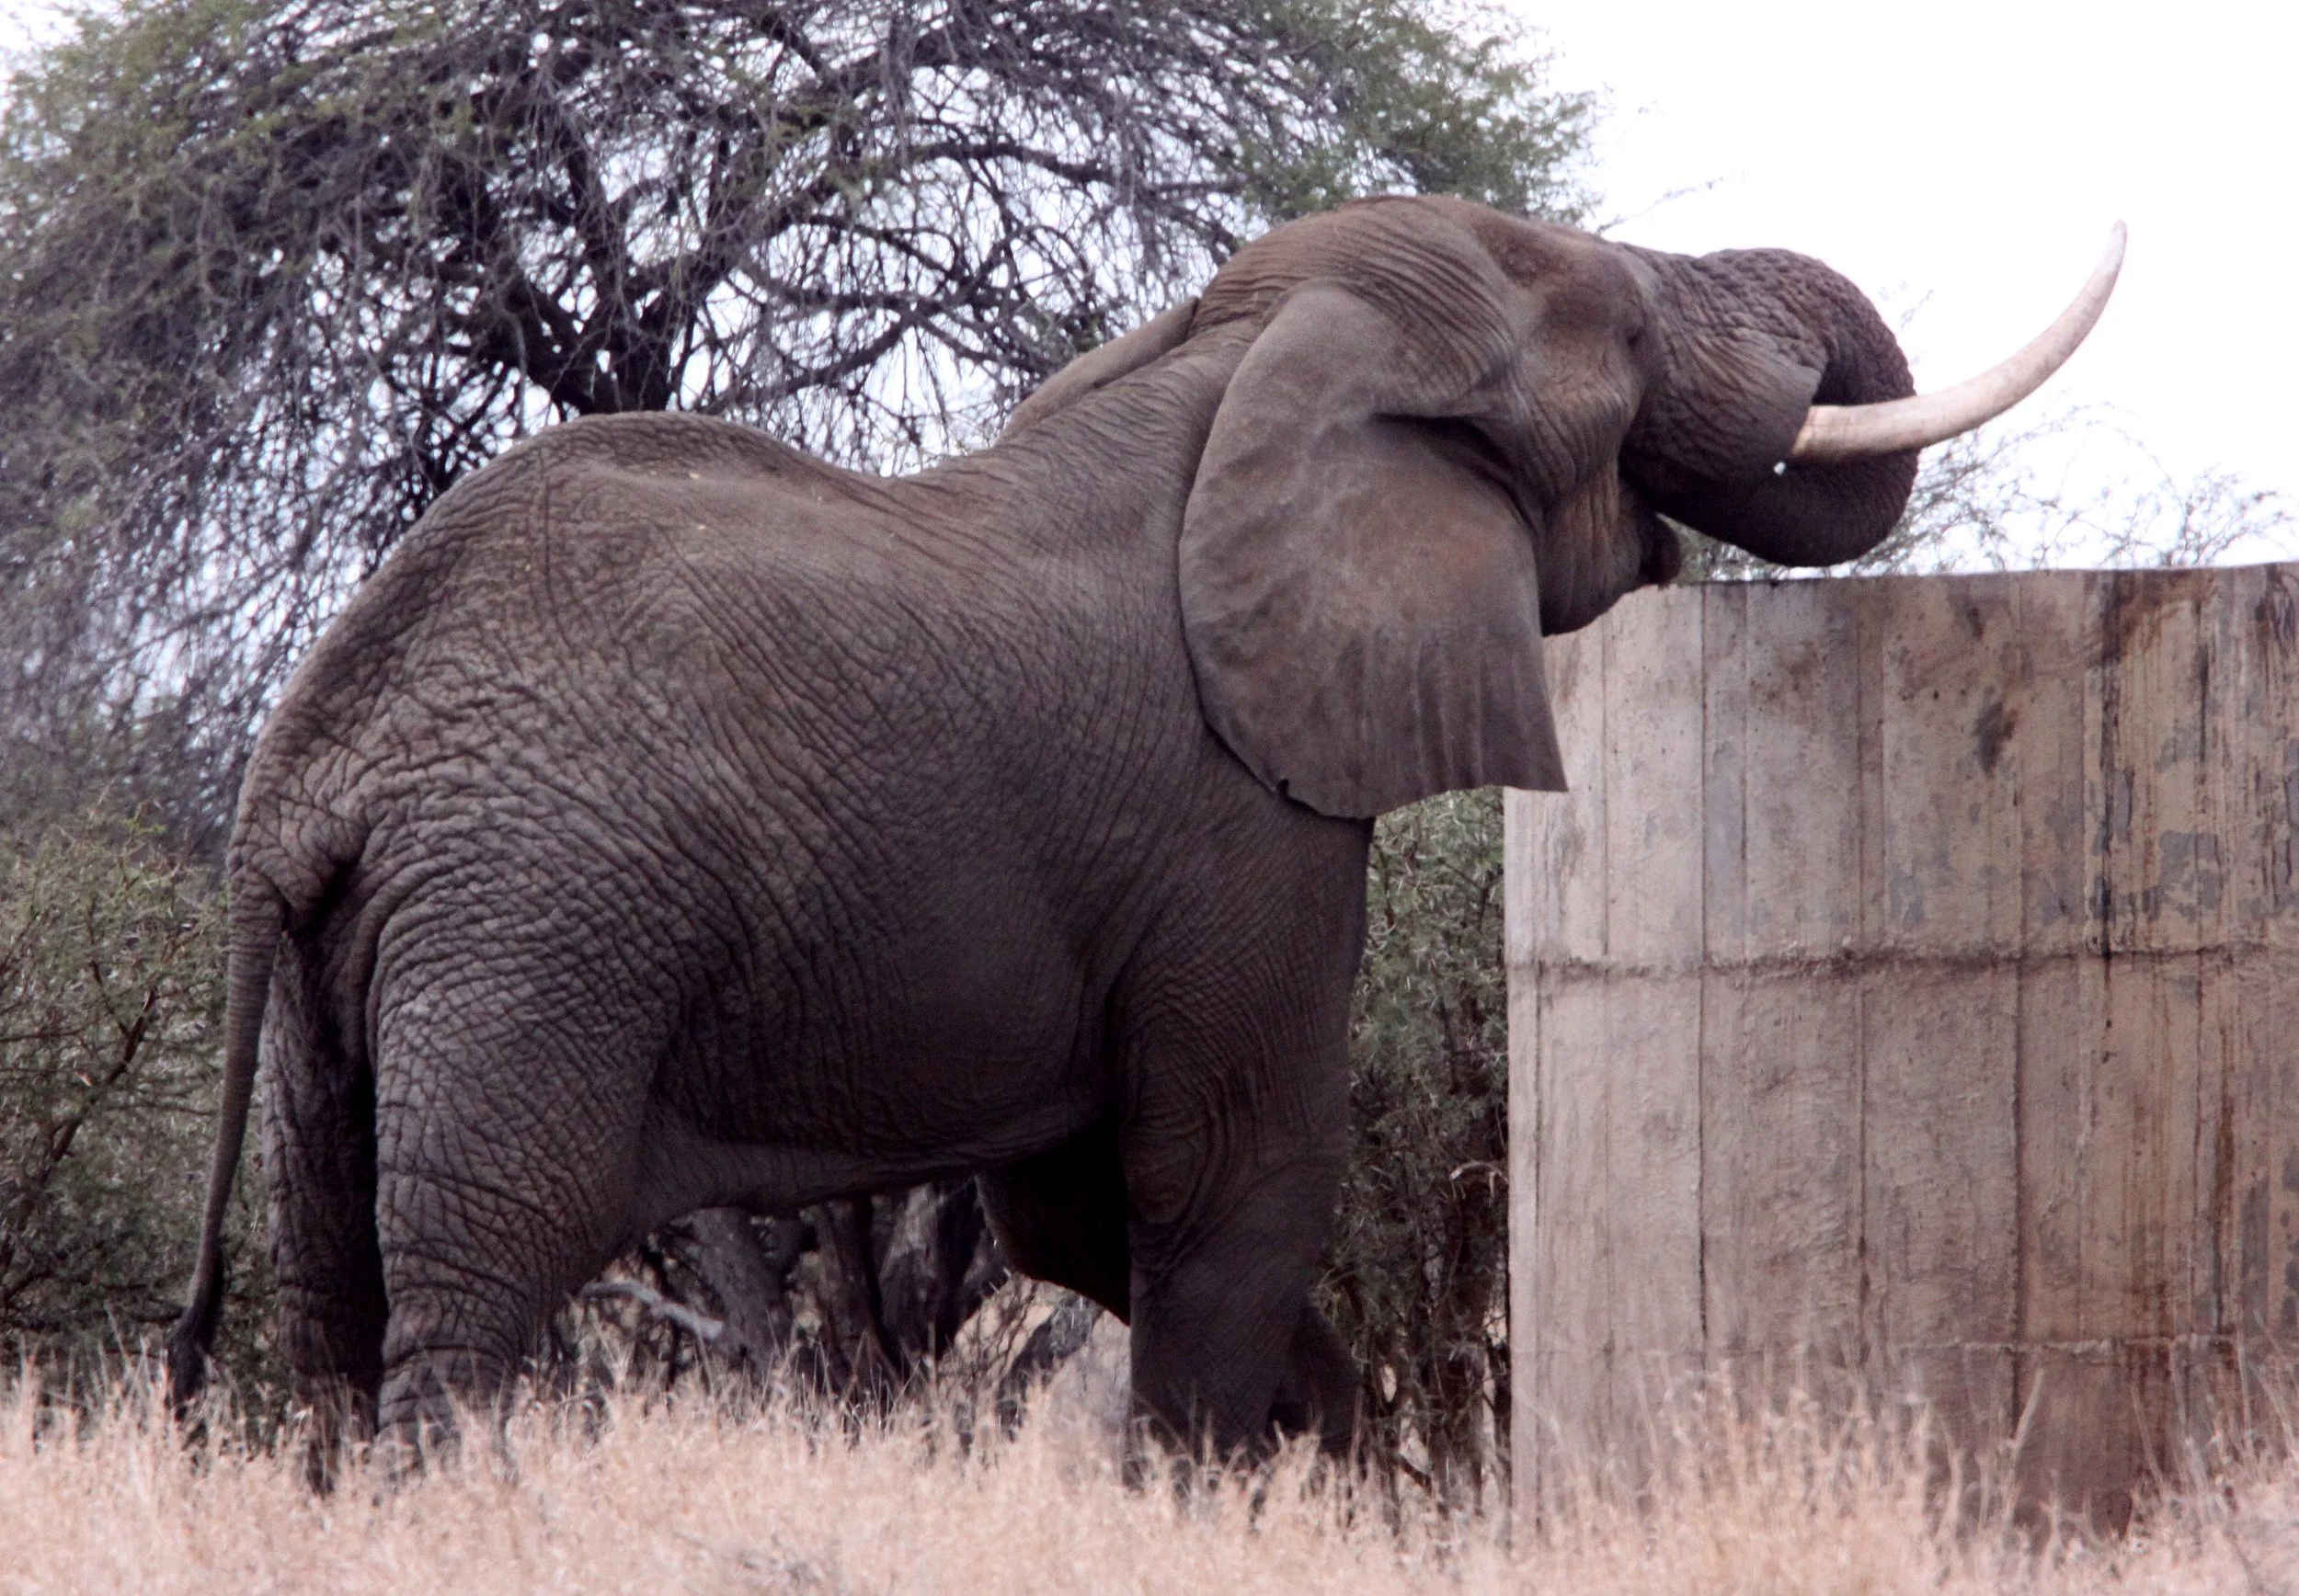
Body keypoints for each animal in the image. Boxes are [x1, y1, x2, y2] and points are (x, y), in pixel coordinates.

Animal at [168, 193, 2119, 1464]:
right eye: (1629, 344)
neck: (1227, 358)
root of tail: (300, 774)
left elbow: (1071, 1213)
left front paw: (1336, 1463)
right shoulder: (1237, 813)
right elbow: (1234, 1174)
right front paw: (1246, 1488)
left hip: (358, 973)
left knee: (330, 1293)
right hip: (534, 934)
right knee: (470, 1291)